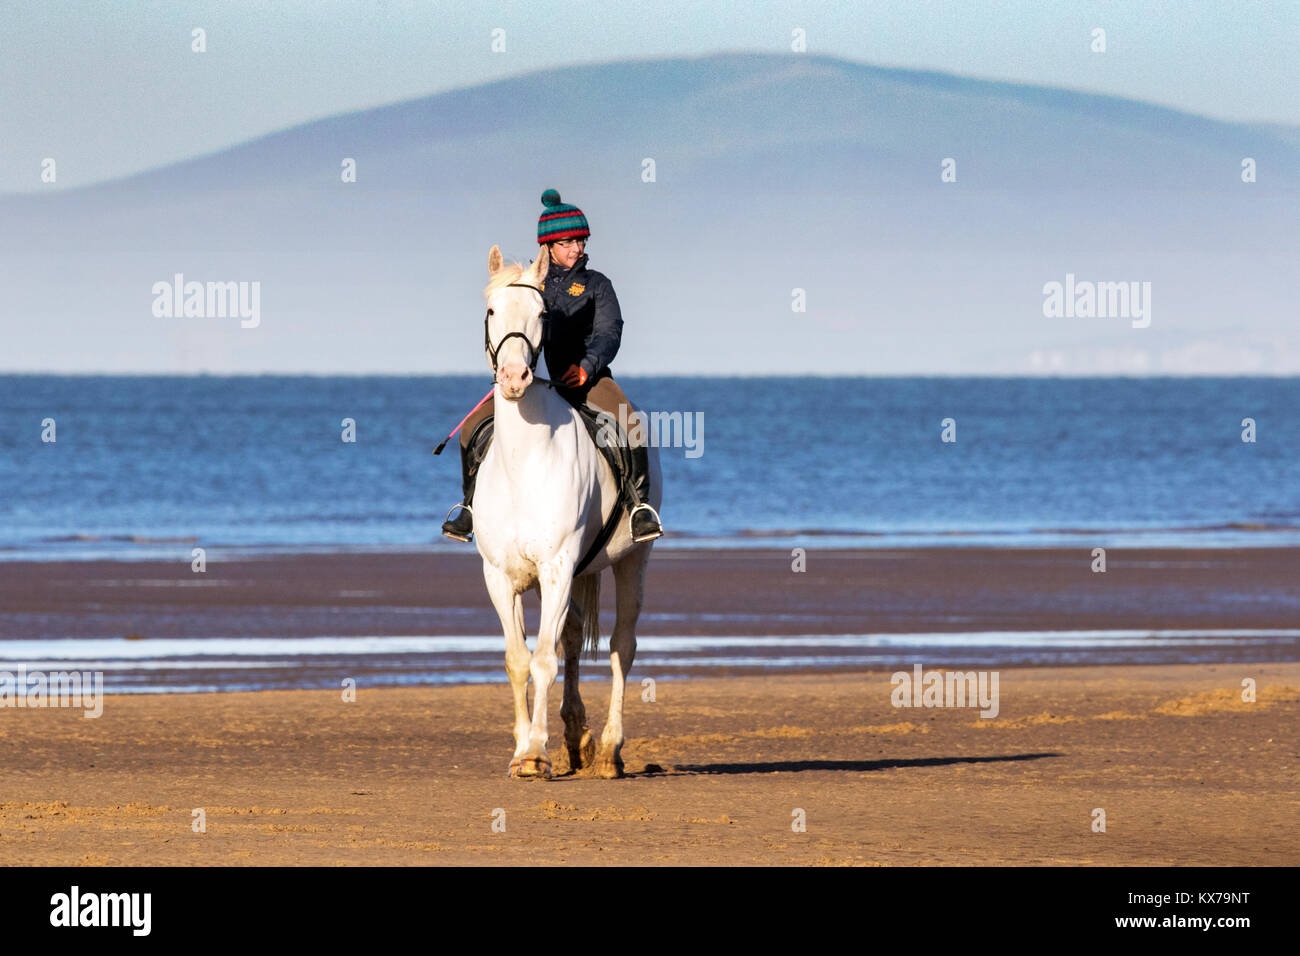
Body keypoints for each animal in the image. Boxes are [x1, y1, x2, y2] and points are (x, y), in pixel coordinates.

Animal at [473, 243, 660, 780]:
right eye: (491, 311)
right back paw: (578, 738)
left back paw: (610, 750)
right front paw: (523, 749)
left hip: (631, 561)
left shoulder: (556, 567)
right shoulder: (502, 576)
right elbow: (519, 659)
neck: (524, 462)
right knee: (574, 637)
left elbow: (542, 661)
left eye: (541, 315)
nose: (514, 378)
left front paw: (536, 753)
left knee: (621, 647)